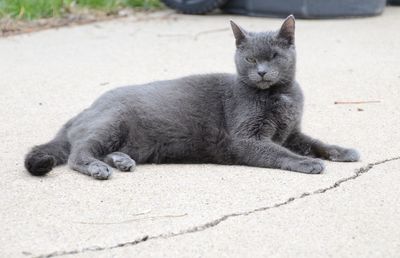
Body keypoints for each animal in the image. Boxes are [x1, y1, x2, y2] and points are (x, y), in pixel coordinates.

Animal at [26, 14, 360, 179]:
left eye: (274, 56)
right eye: (251, 59)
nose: (263, 72)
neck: (280, 96)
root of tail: (80, 114)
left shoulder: (291, 133)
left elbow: (315, 143)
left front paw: (343, 151)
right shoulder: (246, 139)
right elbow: (280, 153)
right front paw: (308, 164)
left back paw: (121, 160)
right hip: (111, 122)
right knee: (77, 154)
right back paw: (99, 168)